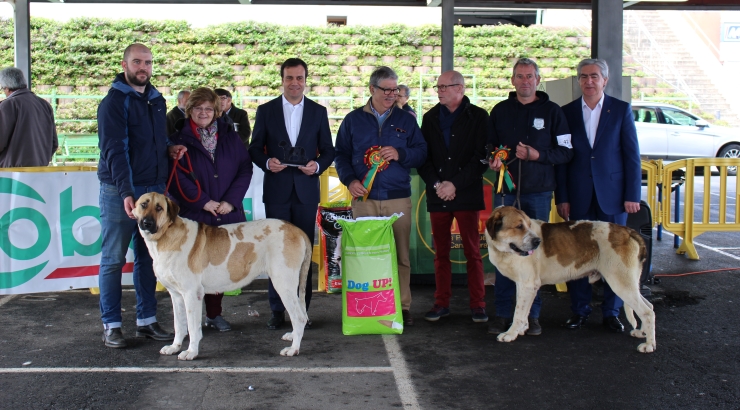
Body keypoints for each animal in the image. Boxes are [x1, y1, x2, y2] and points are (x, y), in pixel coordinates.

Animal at [133, 192, 310, 358]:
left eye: (159, 208)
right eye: (143, 205)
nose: (147, 223)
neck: (166, 236)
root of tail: (297, 230)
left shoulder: (191, 294)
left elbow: (192, 327)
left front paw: (191, 352)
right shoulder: (176, 296)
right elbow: (180, 325)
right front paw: (174, 347)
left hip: (283, 284)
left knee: (299, 317)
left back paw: (294, 348)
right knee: (299, 314)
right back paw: (293, 336)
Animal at [486, 207, 660, 354]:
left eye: (528, 225)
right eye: (519, 226)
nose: (537, 242)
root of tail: (629, 231)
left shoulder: (528, 285)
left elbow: (518, 313)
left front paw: (510, 334)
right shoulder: (523, 285)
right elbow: (523, 309)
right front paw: (522, 329)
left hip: (620, 283)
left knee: (647, 312)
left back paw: (649, 345)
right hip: (630, 283)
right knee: (650, 306)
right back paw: (642, 332)